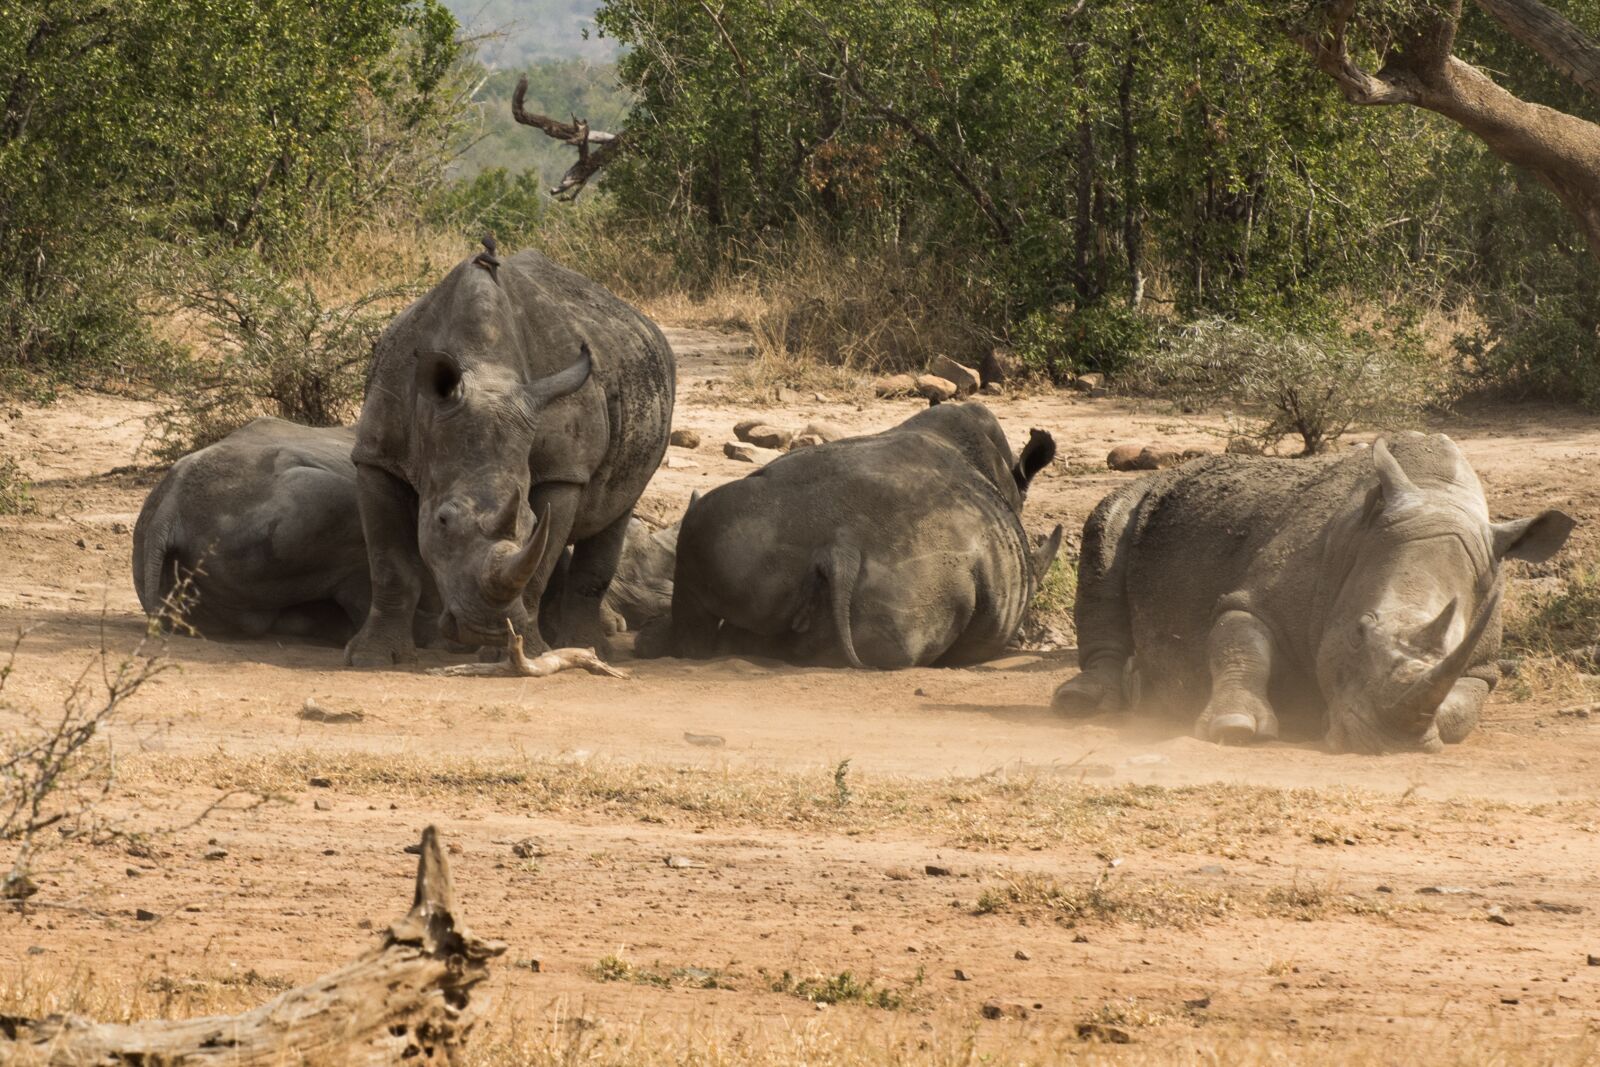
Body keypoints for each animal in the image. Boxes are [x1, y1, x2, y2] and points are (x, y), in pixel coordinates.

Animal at [344, 246, 674, 666]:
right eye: (443, 520)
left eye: (530, 524)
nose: (485, 627)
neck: (483, 368)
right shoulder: (378, 456)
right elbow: (390, 566)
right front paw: (370, 658)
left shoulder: (564, 469)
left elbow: (539, 561)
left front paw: (520, 652)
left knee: (615, 513)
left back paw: (589, 647)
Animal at [1052, 433, 1574, 753]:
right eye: (1358, 633)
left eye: (1455, 649)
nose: (1385, 744)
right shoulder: (1255, 598)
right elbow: (1241, 644)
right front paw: (1235, 729)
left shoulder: (1482, 665)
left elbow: (1459, 710)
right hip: (1135, 496)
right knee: (1106, 529)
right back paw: (1083, 703)